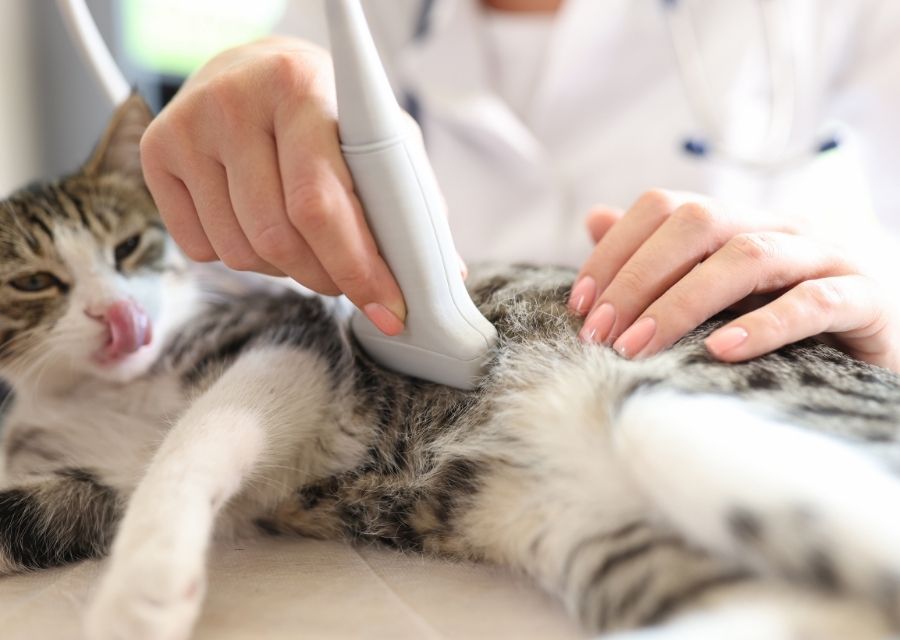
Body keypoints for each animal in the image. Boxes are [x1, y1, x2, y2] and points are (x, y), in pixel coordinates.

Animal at [1, 91, 900, 640]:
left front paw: (141, 590)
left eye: (128, 247)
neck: (89, 394)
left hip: (681, 412)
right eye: (32, 282)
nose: (123, 319)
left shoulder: (295, 344)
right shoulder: (86, 480)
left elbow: (195, 443)